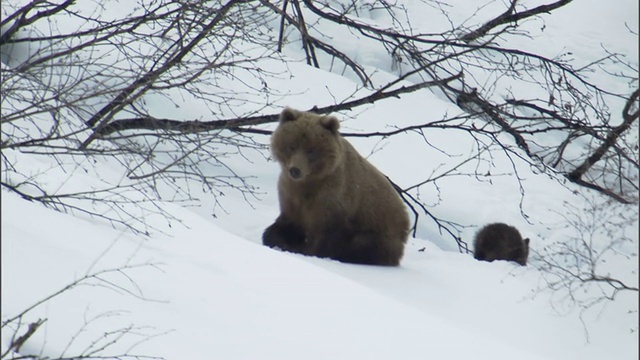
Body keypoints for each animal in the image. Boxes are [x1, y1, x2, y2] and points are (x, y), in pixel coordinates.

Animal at [264, 107, 410, 264]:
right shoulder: (290, 194)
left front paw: (308, 250)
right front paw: (279, 240)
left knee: (365, 244)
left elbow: (326, 236)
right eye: (292, 146)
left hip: (382, 231)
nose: (295, 170)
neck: (310, 182)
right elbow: (285, 224)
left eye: (311, 150)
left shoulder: (332, 197)